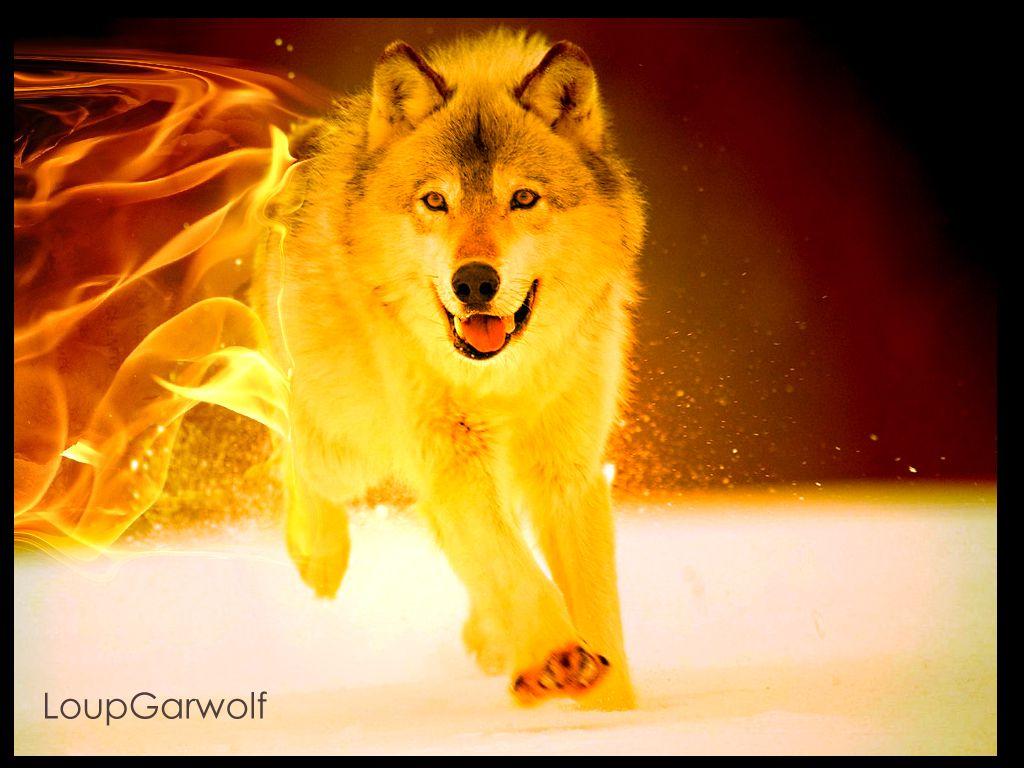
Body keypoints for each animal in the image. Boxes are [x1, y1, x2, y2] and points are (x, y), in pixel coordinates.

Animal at [251, 29, 645, 710]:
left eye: (523, 198)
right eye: (435, 200)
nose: (475, 282)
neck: (501, 378)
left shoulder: (567, 471)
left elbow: (593, 603)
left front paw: (613, 707)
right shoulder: (451, 456)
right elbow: (508, 562)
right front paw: (557, 656)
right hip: (348, 447)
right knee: (295, 447)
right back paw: (318, 556)